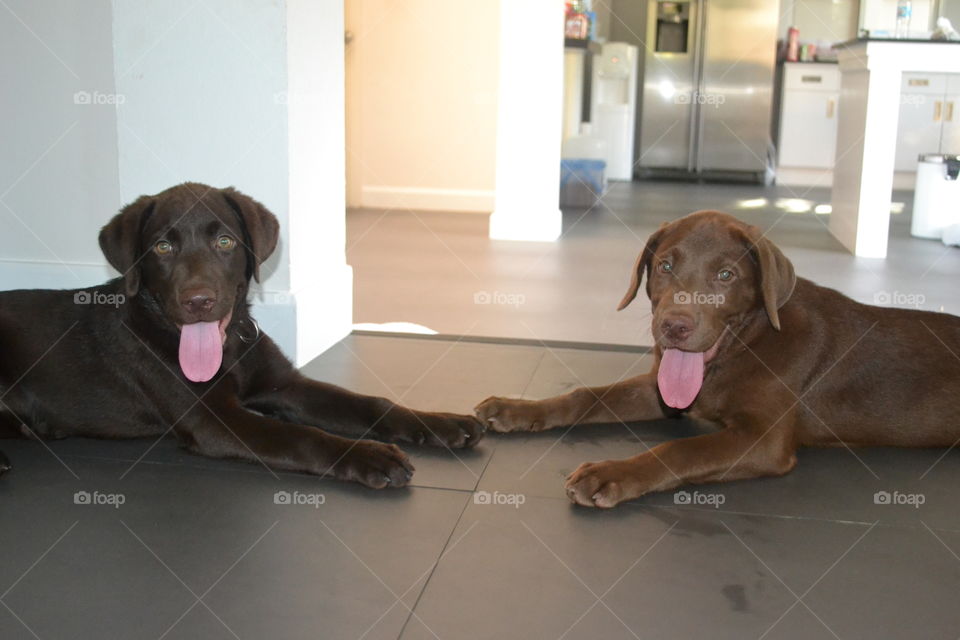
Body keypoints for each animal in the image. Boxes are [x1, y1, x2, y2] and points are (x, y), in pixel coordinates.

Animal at [0, 182, 484, 488]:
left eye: (226, 242)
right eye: (163, 247)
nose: (198, 300)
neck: (228, 346)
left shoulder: (286, 384)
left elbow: (372, 404)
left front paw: (443, 422)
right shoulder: (212, 418)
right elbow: (300, 435)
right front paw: (368, 454)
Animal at [474, 210, 960, 510]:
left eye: (726, 275)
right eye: (665, 266)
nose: (674, 326)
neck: (746, 344)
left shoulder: (763, 440)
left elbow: (681, 448)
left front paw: (610, 474)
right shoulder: (662, 391)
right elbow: (584, 396)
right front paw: (516, 409)